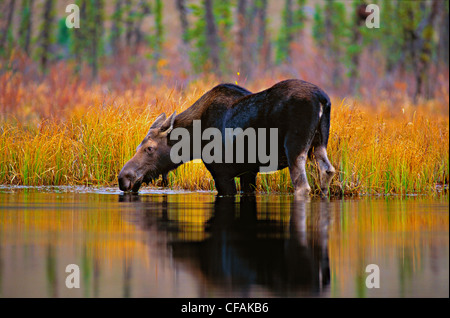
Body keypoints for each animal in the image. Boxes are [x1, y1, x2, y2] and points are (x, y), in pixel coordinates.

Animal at [118, 79, 336, 198]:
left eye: (149, 148)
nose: (124, 177)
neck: (193, 143)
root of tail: (322, 99)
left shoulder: (222, 173)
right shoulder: (249, 172)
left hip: (294, 147)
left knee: (302, 186)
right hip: (319, 144)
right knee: (327, 171)